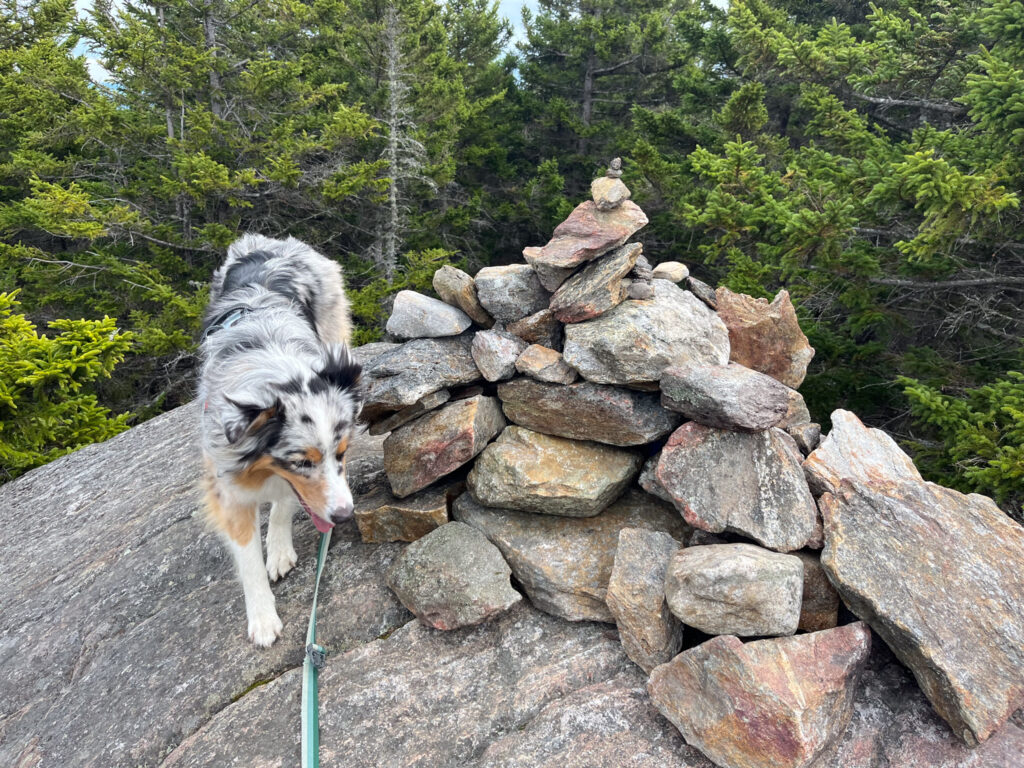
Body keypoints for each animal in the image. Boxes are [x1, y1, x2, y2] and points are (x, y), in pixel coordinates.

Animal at [197, 234, 362, 651]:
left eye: (342, 453)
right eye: (302, 461)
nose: (344, 516)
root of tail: (271, 240)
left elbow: (286, 503)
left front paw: (280, 549)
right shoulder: (225, 479)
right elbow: (246, 554)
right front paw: (262, 618)